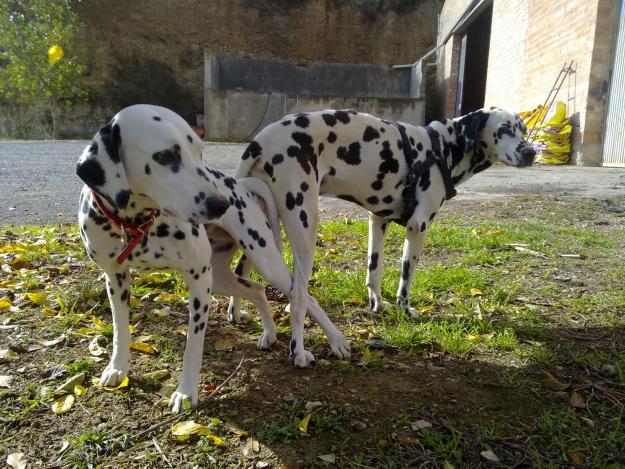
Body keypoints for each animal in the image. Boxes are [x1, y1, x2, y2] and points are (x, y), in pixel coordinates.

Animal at [232, 107, 532, 358]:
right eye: (504, 129)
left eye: (524, 129)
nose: (531, 152)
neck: (443, 148)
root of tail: (260, 141)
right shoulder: (418, 227)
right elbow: (406, 279)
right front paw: (405, 310)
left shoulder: (377, 220)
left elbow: (373, 271)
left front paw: (376, 303)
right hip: (303, 229)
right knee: (297, 296)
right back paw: (303, 351)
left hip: (258, 229)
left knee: (241, 271)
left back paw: (239, 316)